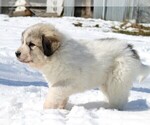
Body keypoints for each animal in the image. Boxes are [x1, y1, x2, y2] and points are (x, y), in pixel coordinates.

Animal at [15, 23, 150, 110]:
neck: (55, 54)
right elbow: (60, 95)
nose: (16, 53)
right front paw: (61, 108)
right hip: (107, 83)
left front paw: (47, 109)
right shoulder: (58, 81)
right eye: (23, 42)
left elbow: (54, 92)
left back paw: (112, 110)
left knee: (119, 99)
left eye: (31, 44)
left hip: (118, 80)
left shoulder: (69, 81)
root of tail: (130, 49)